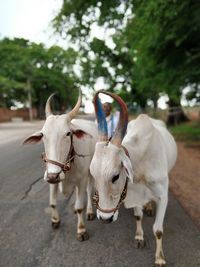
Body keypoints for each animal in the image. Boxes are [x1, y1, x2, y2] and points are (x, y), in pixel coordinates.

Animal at [23, 91, 97, 241]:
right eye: (43, 134)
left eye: (68, 133)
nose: (53, 175)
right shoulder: (52, 180)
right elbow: (52, 202)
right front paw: (55, 220)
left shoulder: (81, 180)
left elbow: (80, 206)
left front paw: (81, 230)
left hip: (90, 174)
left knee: (88, 191)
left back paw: (89, 212)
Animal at [90, 91, 177, 266]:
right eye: (93, 174)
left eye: (116, 176)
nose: (105, 218)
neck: (141, 165)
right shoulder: (133, 193)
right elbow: (138, 216)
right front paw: (139, 237)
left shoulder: (163, 196)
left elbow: (158, 230)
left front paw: (159, 258)